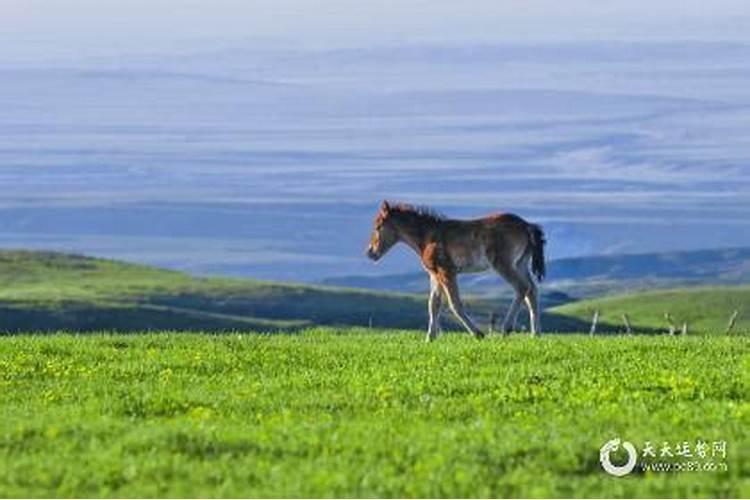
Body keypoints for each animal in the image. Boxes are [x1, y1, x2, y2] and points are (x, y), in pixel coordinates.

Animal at [368, 201, 548, 342]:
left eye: (378, 227)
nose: (370, 252)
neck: (427, 236)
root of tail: (527, 226)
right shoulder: (435, 274)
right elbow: (433, 304)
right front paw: (429, 338)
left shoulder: (447, 271)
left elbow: (454, 304)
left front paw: (478, 334)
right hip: (520, 263)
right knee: (532, 290)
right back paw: (535, 334)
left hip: (503, 264)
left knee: (522, 287)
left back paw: (507, 328)